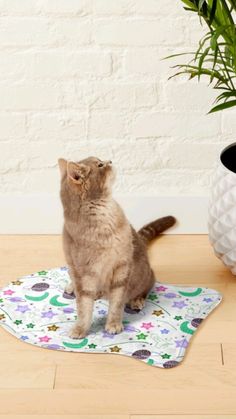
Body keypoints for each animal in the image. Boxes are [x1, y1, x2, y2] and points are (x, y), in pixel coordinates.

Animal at [58, 156, 176, 340]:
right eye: (100, 165)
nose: (110, 161)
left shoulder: (121, 267)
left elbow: (116, 303)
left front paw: (113, 324)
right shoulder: (83, 272)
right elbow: (84, 307)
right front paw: (80, 328)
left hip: (144, 274)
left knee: (146, 287)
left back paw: (136, 300)